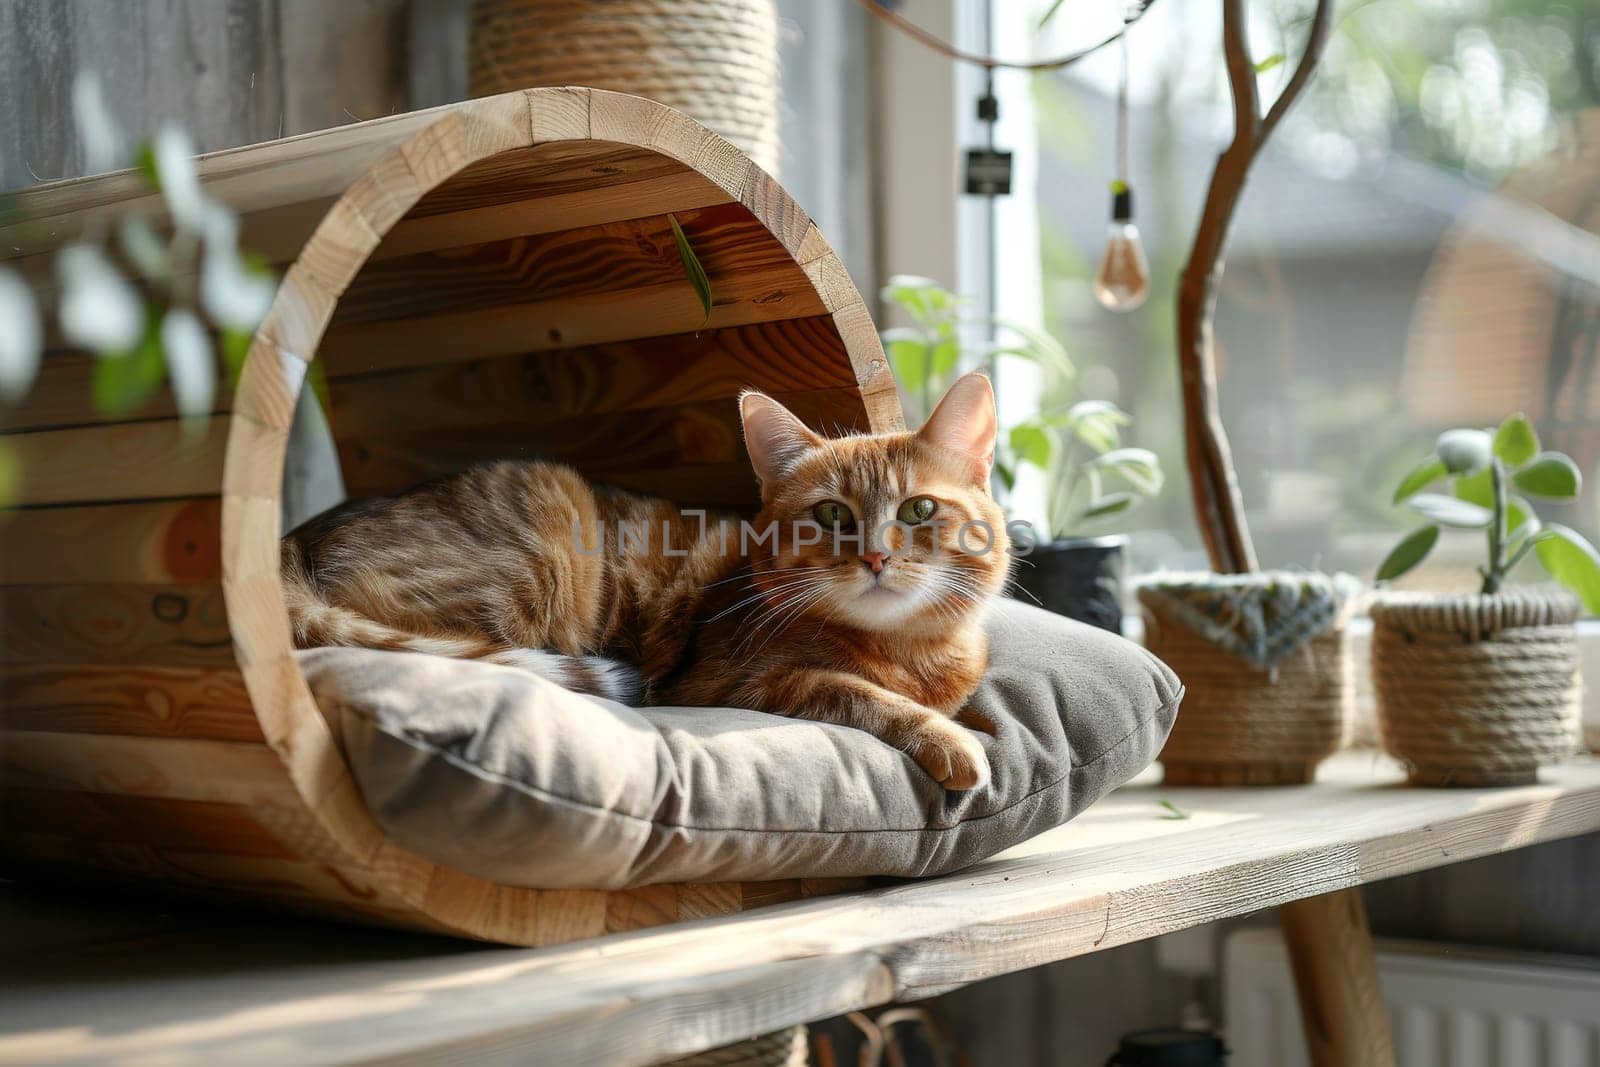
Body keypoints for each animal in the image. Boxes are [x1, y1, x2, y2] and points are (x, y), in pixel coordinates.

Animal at [281, 374, 1004, 783]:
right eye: (831, 515)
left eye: (918, 510)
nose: (876, 557)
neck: (909, 653)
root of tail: (291, 542)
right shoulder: (742, 683)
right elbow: (858, 693)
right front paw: (953, 742)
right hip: (543, 539)